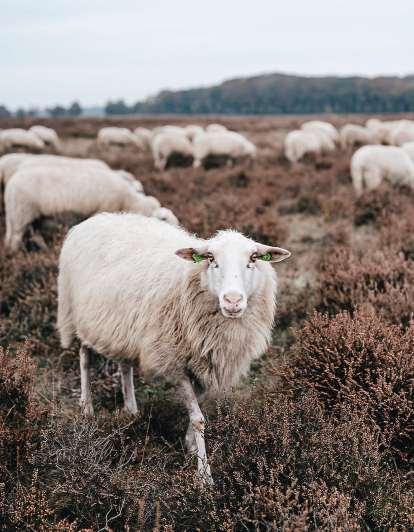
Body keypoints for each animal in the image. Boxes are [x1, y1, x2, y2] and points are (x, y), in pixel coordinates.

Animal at [4, 165, 160, 252]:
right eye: (162, 218)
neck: (127, 199)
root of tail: (10, 185)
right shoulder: (104, 207)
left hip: (33, 216)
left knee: (35, 235)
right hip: (22, 212)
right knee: (16, 237)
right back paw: (16, 254)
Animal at [57, 213, 291, 482]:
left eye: (253, 258)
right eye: (211, 258)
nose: (233, 300)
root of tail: (94, 219)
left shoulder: (207, 364)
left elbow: (199, 410)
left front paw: (190, 444)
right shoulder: (174, 362)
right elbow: (198, 418)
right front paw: (204, 476)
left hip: (123, 328)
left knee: (124, 365)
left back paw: (131, 409)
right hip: (78, 316)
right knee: (84, 358)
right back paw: (87, 408)